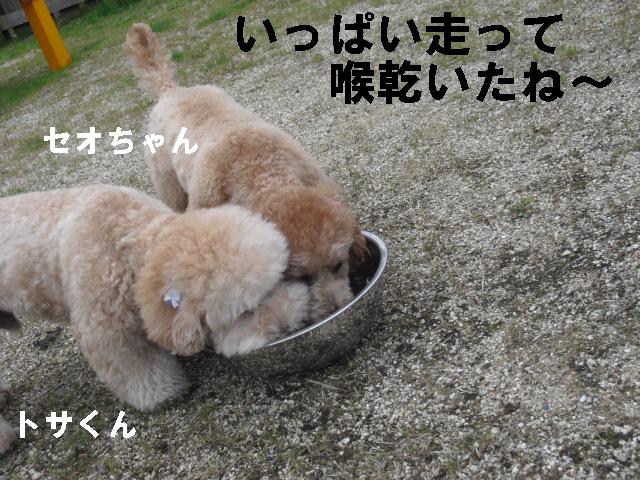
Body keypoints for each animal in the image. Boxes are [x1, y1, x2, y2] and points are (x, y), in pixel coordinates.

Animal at [0, 185, 308, 454]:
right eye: (245, 312)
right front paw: (165, 393)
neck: (126, 235)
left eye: (277, 282)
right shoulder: (107, 328)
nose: (288, 325)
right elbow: (137, 365)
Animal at [125, 23, 367, 321]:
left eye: (338, 264)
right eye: (301, 278)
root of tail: (169, 90)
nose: (335, 309)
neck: (259, 169)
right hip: (170, 188)